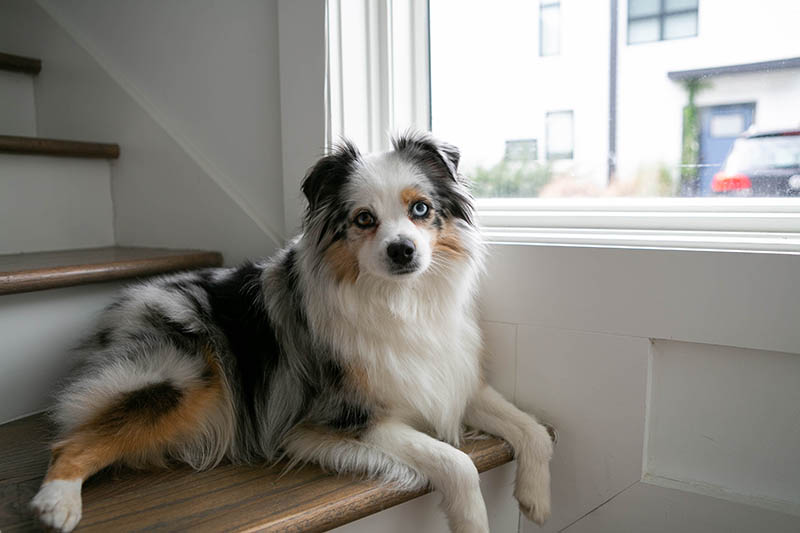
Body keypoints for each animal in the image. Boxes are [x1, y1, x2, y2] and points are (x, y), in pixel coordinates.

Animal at [32, 131, 556, 528]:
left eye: (421, 209)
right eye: (363, 219)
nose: (402, 250)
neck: (399, 301)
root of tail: (122, 304)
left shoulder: (454, 382)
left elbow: (532, 428)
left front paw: (536, 497)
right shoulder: (346, 417)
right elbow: (457, 462)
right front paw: (474, 519)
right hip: (185, 377)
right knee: (68, 441)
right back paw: (56, 503)